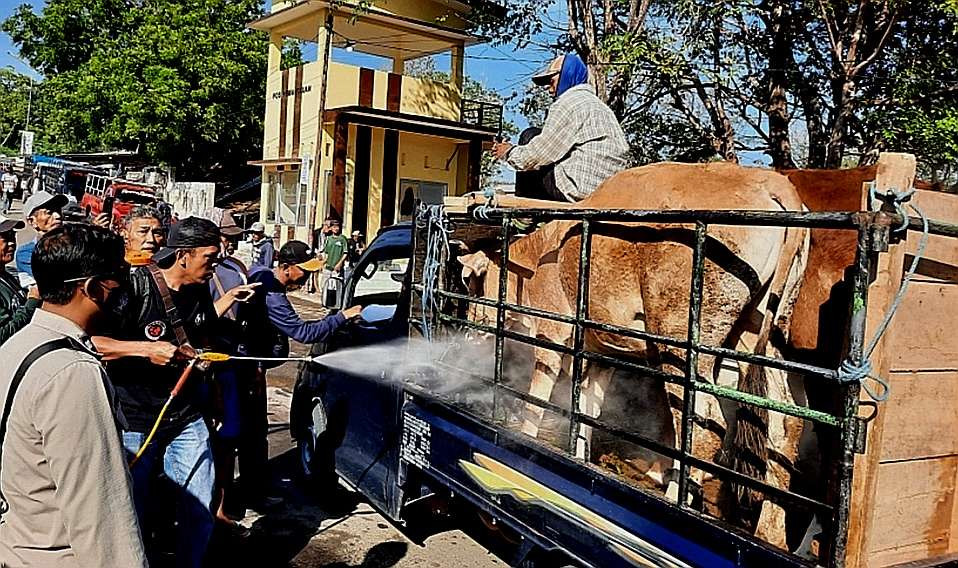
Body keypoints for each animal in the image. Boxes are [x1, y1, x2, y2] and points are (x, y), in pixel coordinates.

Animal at [462, 161, 812, 552]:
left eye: (471, 281)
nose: (470, 322)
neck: (538, 255)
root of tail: (769, 182)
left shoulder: (552, 335)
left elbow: (536, 399)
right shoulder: (600, 353)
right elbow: (588, 406)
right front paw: (579, 457)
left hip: (680, 346)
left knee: (705, 424)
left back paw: (676, 495)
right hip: (759, 335)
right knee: (784, 423)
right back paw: (771, 530)